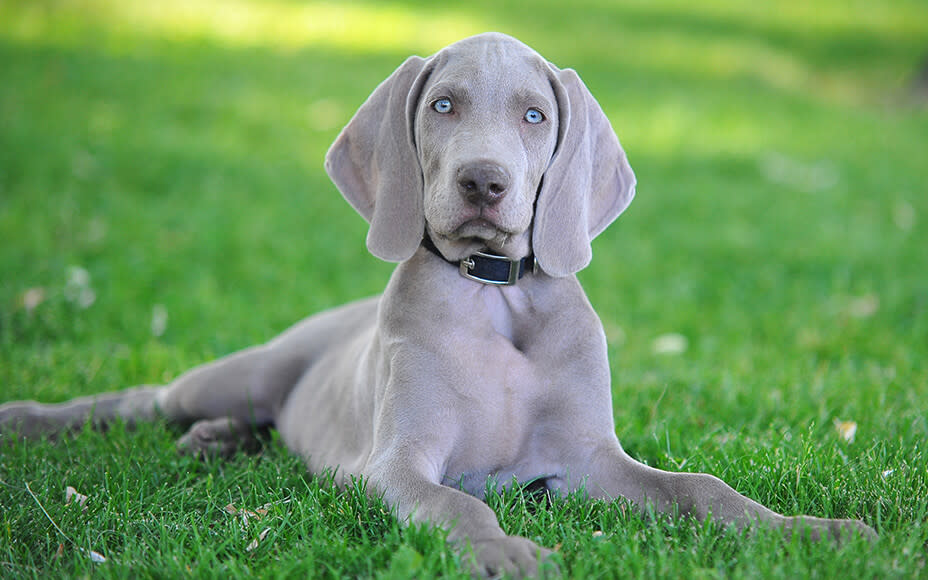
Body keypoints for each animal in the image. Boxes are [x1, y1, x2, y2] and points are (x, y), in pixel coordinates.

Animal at [0, 32, 872, 580]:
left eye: (535, 115)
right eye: (443, 105)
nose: (484, 181)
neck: (497, 297)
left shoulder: (589, 460)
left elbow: (702, 487)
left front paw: (815, 532)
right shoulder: (399, 461)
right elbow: (456, 504)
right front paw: (507, 552)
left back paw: (217, 442)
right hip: (241, 372)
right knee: (144, 398)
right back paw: (40, 418)